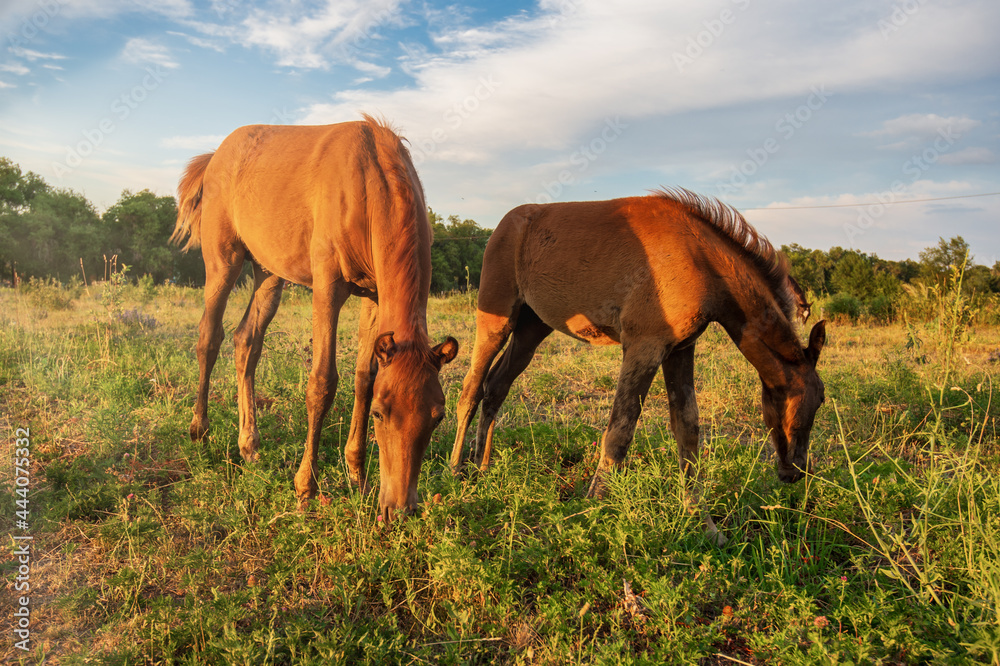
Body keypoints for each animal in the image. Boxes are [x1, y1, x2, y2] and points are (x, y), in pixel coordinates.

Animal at [171, 116, 459, 520]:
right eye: (381, 414)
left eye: (438, 416)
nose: (399, 509)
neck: (367, 182)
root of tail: (215, 156)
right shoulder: (328, 288)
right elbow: (322, 382)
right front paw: (306, 487)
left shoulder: (373, 296)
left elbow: (364, 377)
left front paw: (357, 475)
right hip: (223, 262)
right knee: (209, 338)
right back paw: (199, 430)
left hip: (268, 273)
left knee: (246, 342)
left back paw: (249, 445)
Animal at [449, 188, 825, 544]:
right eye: (819, 399)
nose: (795, 472)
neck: (699, 258)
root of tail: (503, 225)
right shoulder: (644, 346)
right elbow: (619, 432)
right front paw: (594, 509)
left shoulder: (679, 349)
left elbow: (688, 431)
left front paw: (704, 523)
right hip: (496, 318)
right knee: (470, 390)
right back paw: (454, 473)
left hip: (531, 327)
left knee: (496, 387)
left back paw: (482, 467)